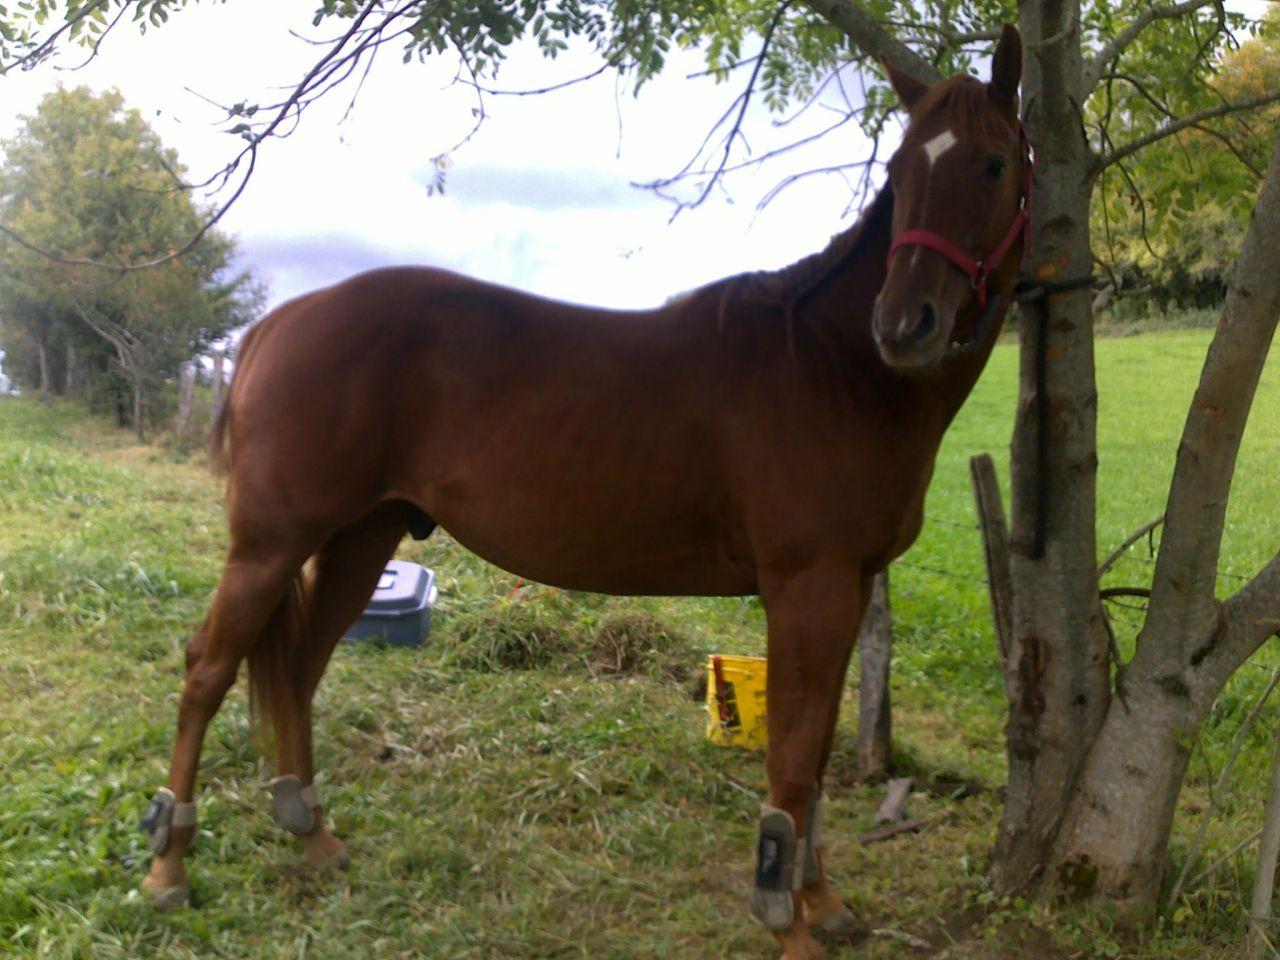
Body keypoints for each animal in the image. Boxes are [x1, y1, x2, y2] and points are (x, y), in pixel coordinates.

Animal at [139, 25, 1029, 960]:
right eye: (901, 167)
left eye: (994, 164)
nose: (904, 325)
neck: (831, 366)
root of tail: (278, 323)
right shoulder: (806, 588)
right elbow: (791, 760)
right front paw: (790, 923)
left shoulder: (849, 587)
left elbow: (815, 757)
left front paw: (821, 902)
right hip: (269, 543)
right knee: (208, 669)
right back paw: (169, 866)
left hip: (360, 538)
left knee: (298, 669)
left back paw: (311, 835)